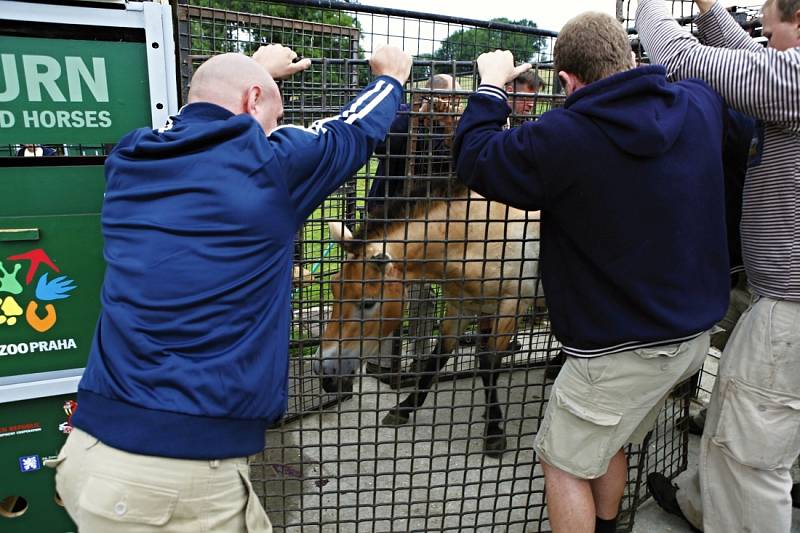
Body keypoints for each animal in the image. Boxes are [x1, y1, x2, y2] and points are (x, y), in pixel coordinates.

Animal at [312, 181, 544, 456]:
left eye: (368, 302)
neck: (483, 234)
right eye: (334, 288)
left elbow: (488, 365)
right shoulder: (460, 307)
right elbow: (436, 359)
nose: (324, 371)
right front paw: (405, 407)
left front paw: (494, 430)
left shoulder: (511, 306)